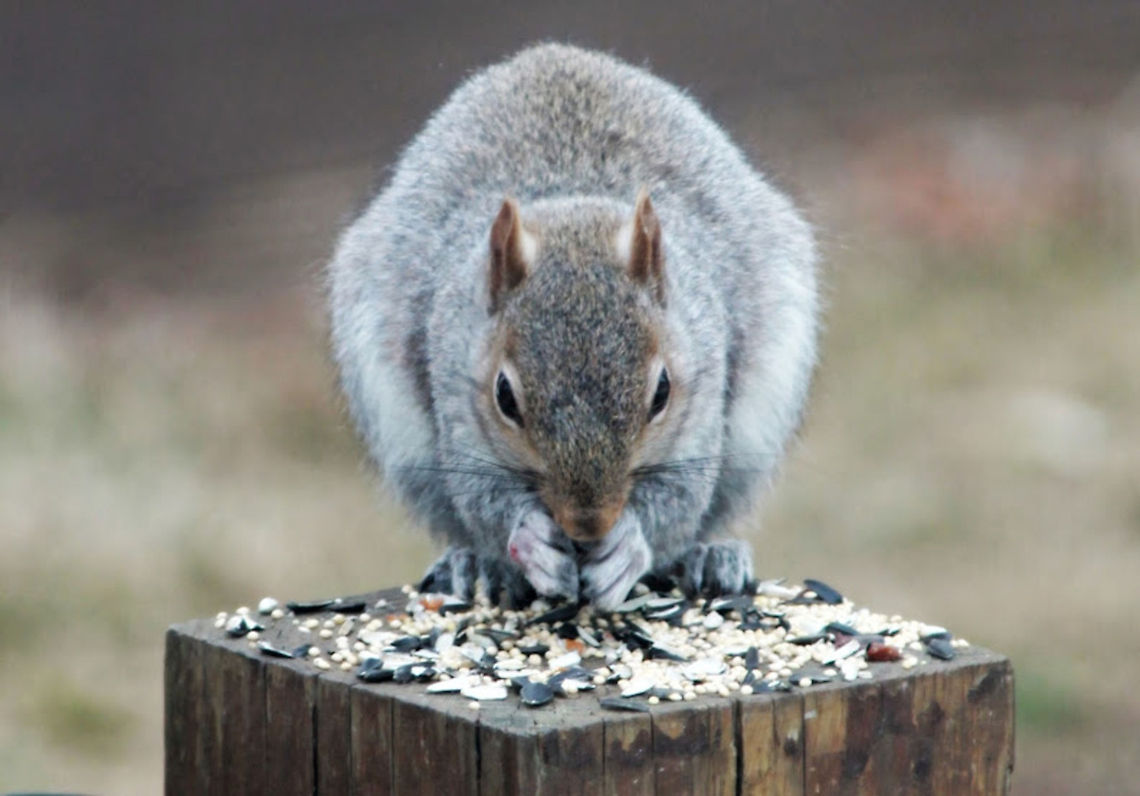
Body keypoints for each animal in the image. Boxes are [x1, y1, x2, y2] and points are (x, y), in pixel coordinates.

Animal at [327, 44, 819, 610]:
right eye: (504, 397)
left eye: (662, 392)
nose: (589, 524)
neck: (574, 214)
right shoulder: (456, 394)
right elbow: (482, 499)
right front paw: (530, 540)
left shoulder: (701, 388)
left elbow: (679, 500)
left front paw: (628, 545)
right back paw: (474, 565)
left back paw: (711, 557)